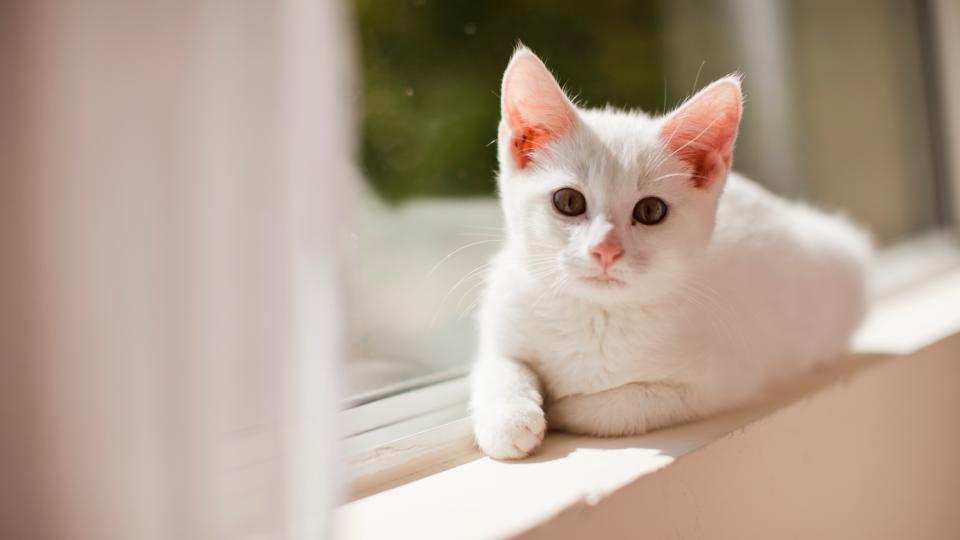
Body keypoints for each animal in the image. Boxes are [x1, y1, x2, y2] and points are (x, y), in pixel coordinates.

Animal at [468, 47, 872, 460]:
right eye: (568, 201)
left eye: (650, 211)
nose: (605, 250)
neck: (597, 314)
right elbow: (498, 365)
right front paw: (508, 417)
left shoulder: (724, 380)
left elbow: (622, 405)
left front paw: (564, 407)